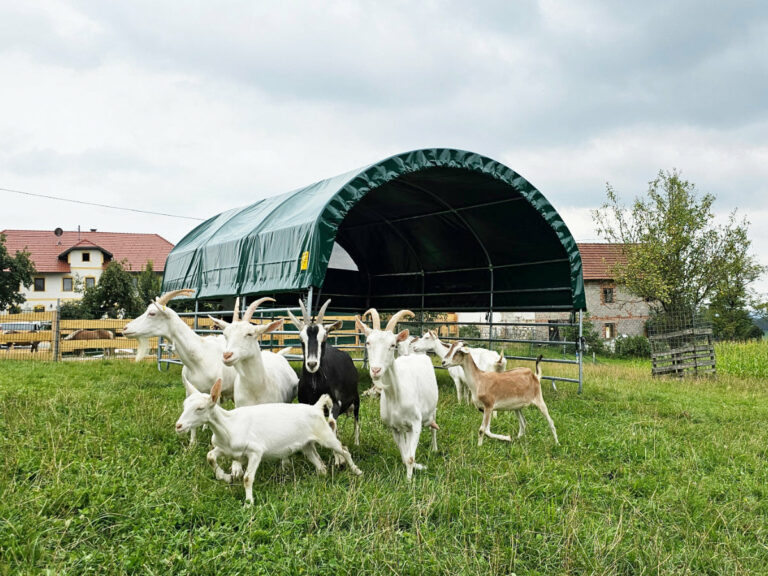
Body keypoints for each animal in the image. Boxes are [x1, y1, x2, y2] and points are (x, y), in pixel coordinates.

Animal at [123, 288, 236, 446]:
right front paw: (192, 444)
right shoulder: (190, 391)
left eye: (152, 313)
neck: (199, 357)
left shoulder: (216, 391)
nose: (125, 328)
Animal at [177, 378, 364, 504]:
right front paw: (225, 477)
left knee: (343, 449)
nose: (179, 426)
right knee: (319, 462)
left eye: (200, 408)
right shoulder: (225, 449)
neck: (229, 425)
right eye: (184, 405)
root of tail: (316, 407)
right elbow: (210, 456)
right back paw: (321, 477)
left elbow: (247, 478)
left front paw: (249, 503)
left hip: (325, 435)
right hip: (306, 445)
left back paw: (357, 471)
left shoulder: (255, 451)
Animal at [286, 296, 362, 446]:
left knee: (356, 417)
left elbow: (332, 422)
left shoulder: (336, 403)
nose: (312, 364)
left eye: (325, 337)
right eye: (301, 338)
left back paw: (356, 443)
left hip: (356, 398)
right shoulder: (305, 402)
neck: (316, 385)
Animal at [356, 308, 438, 480]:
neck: (396, 396)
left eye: (392, 345)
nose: (376, 370)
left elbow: (410, 457)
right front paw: (413, 470)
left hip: (433, 407)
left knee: (433, 426)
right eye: (368, 342)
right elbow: (405, 456)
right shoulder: (394, 427)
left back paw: (434, 448)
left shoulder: (415, 424)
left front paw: (409, 481)